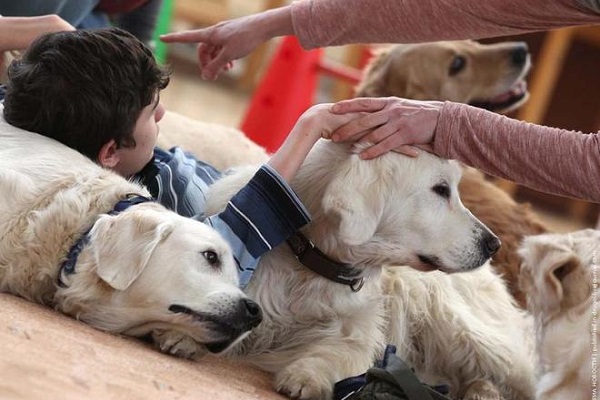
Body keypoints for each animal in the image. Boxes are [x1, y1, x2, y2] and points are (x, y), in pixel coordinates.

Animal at [154, 138, 536, 400]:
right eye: (441, 189)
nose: (492, 244)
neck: (309, 262)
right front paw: (187, 335)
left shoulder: (360, 335)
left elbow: (339, 352)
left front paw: (307, 375)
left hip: (460, 327)